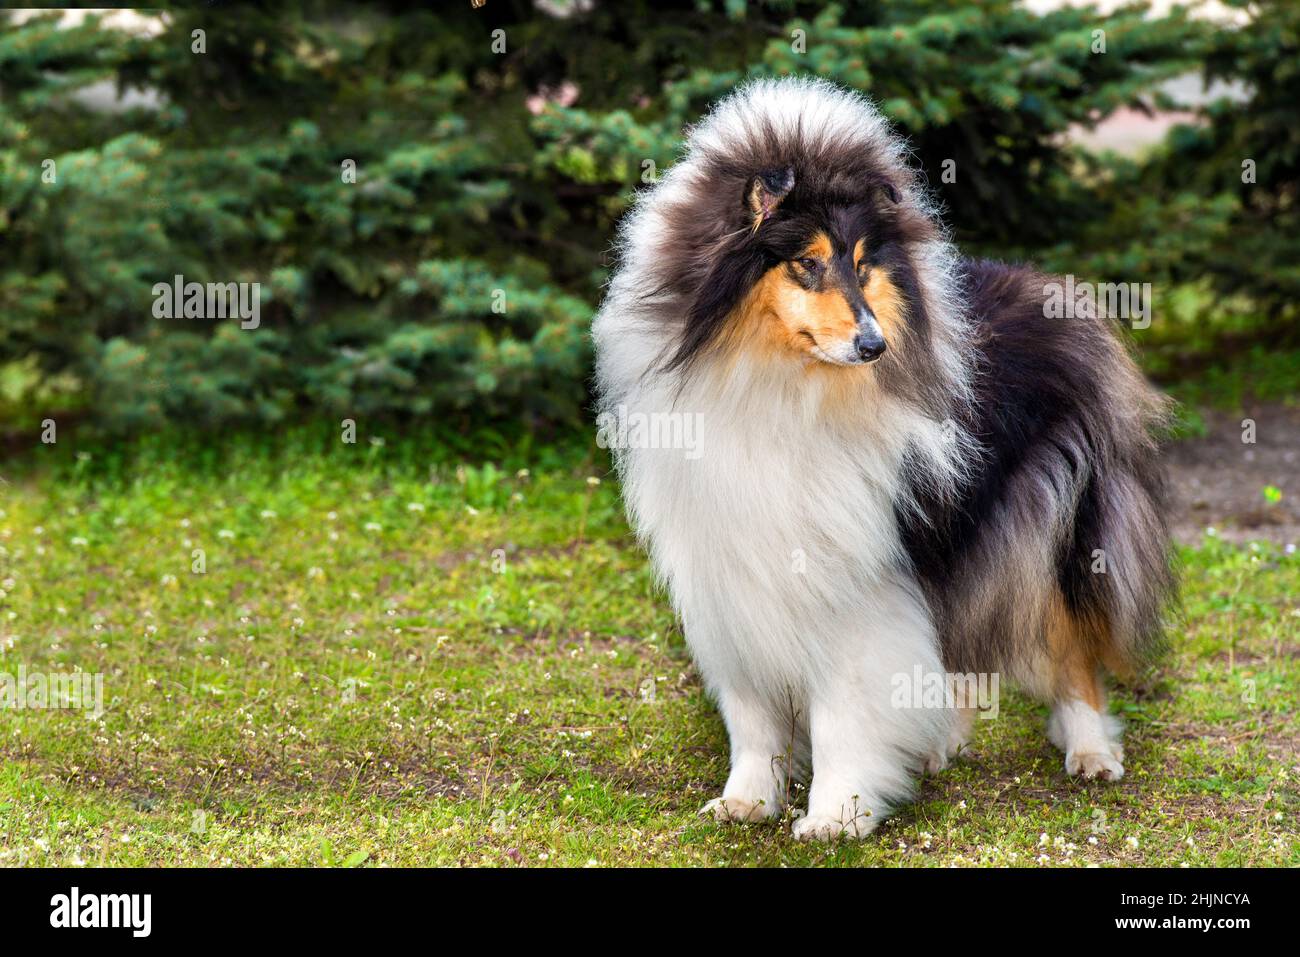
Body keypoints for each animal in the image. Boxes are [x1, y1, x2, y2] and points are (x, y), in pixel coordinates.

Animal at [595, 76, 1175, 837]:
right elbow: (752, 710)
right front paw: (748, 798)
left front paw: (836, 813)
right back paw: (941, 743)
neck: (778, 386)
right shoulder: (731, 566)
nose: (875, 346)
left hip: (1046, 526)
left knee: (1068, 640)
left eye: (865, 265)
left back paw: (1090, 750)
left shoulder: (857, 577)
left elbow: (843, 709)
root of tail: (1049, 288)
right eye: (807, 263)